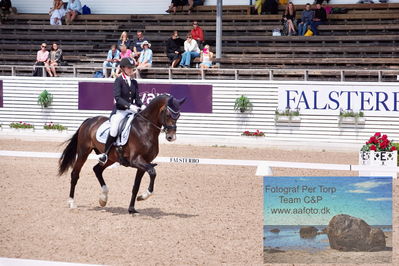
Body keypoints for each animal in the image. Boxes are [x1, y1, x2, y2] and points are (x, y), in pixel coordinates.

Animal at [58, 95, 186, 214]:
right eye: (168, 114)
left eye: (179, 115)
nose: (171, 137)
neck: (145, 128)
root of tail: (89, 120)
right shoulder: (136, 160)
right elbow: (153, 172)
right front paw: (143, 196)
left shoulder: (144, 164)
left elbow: (136, 186)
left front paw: (132, 208)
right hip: (83, 153)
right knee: (75, 174)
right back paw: (71, 202)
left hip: (110, 158)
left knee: (97, 169)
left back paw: (103, 198)